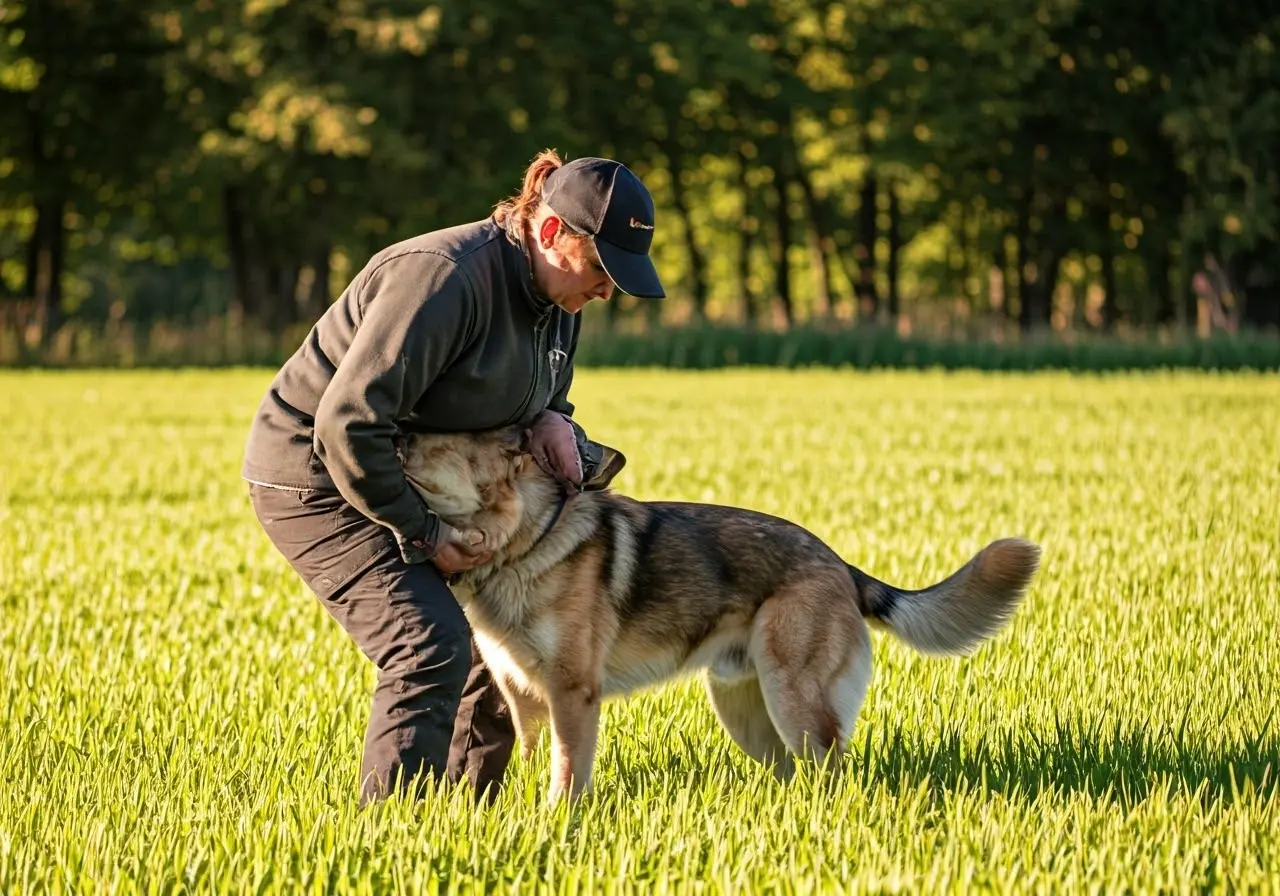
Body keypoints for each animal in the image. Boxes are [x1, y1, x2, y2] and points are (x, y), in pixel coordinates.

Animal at [399, 427, 1039, 803]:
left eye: (440, 445)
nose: (392, 435)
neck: (527, 539)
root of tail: (840, 564)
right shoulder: (522, 695)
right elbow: (531, 756)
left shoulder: (573, 695)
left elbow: (567, 773)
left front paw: (560, 827)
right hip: (748, 715)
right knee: (793, 773)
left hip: (795, 704)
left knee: (832, 771)